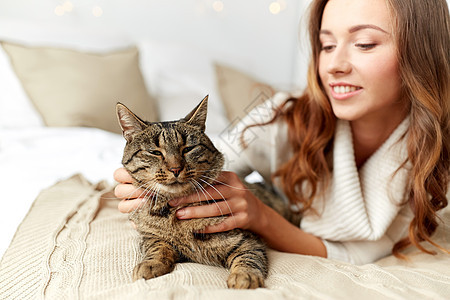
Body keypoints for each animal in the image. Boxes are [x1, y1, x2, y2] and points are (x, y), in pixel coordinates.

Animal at [115, 96, 292, 288]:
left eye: (188, 149)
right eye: (154, 152)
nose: (175, 168)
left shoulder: (248, 240)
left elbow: (248, 258)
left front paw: (245, 276)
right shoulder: (150, 235)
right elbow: (157, 246)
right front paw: (150, 263)